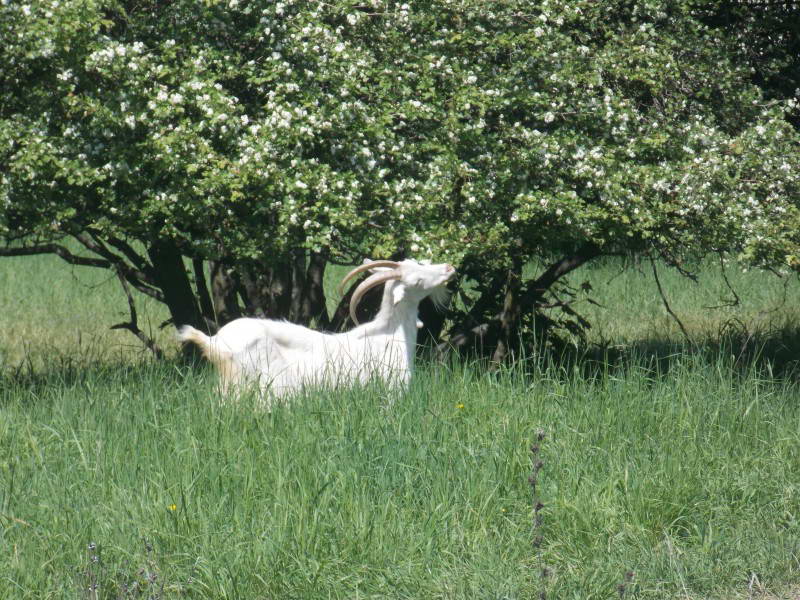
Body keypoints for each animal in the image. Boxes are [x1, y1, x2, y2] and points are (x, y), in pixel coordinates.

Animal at [180, 258, 456, 396]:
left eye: (420, 261)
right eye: (416, 280)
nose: (449, 268)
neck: (390, 333)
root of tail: (215, 343)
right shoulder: (391, 392)